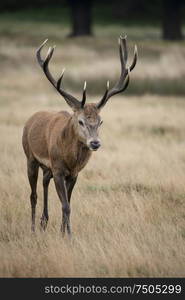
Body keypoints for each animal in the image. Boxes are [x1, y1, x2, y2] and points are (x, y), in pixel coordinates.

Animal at [22, 35, 137, 237]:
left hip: (47, 167)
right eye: (81, 121)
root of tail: (30, 119)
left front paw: (63, 231)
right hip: (30, 157)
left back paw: (44, 222)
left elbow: (68, 203)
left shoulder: (74, 174)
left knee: (44, 182)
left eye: (101, 121)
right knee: (33, 195)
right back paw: (34, 229)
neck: (70, 160)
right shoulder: (58, 169)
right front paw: (68, 235)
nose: (95, 143)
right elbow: (65, 205)